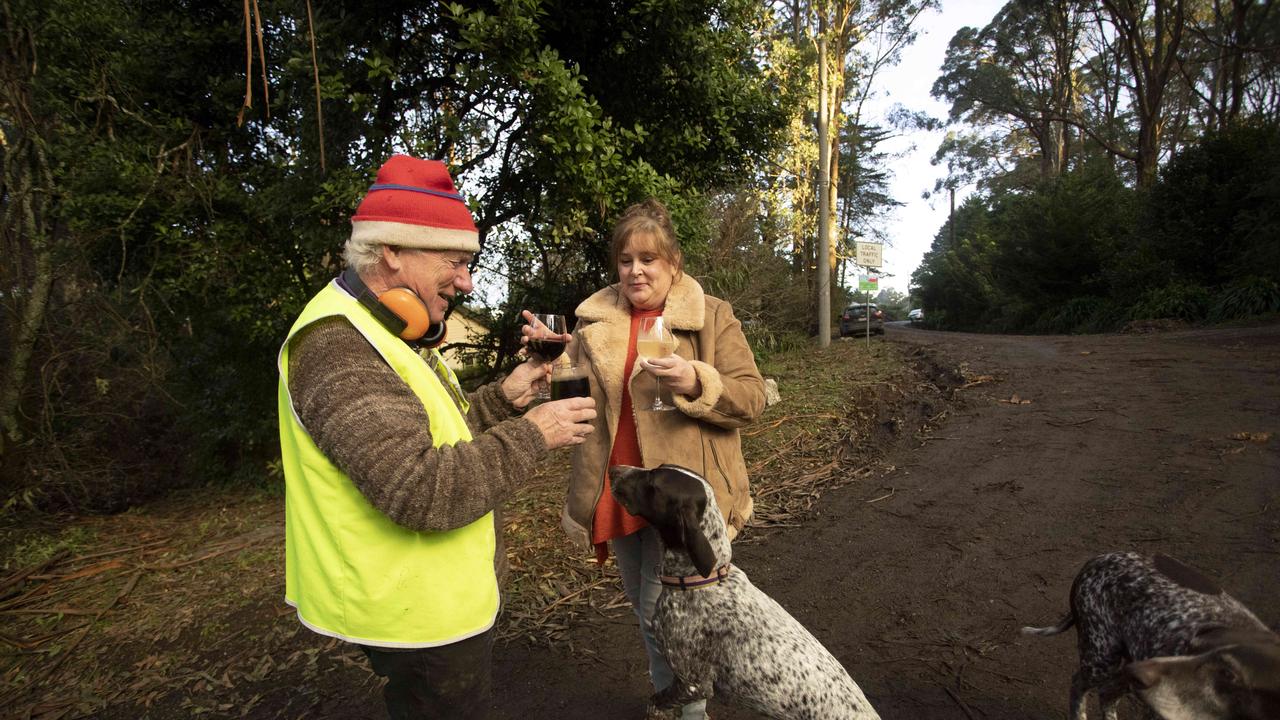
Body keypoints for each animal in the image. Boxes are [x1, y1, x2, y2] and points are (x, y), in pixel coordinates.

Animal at [1024, 548, 1280, 717]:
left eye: (1228, 673)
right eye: (1191, 648)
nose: (1146, 671)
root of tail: (1094, 561)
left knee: (1107, 694)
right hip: (1102, 658)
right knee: (1079, 685)